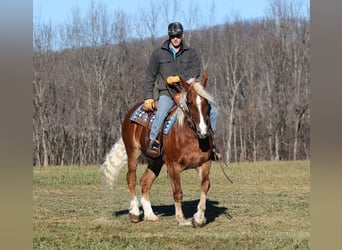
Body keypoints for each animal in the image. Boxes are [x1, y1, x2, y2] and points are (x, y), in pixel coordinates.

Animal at [100, 72, 215, 227]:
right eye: (190, 103)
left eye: (206, 103)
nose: (203, 131)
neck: (191, 137)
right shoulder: (173, 166)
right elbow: (177, 192)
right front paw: (181, 219)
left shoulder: (204, 164)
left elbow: (205, 186)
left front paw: (199, 218)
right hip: (133, 152)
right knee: (131, 178)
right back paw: (134, 213)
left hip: (156, 161)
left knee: (145, 182)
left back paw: (150, 215)